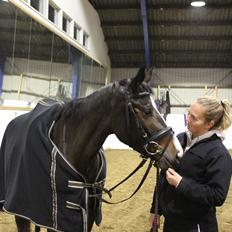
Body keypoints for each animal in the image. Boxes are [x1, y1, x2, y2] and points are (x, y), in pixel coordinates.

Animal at [0, 66, 183, 231]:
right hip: (21, 211)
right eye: (146, 111)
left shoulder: (87, 216)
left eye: (162, 109)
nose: (178, 153)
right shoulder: (57, 218)